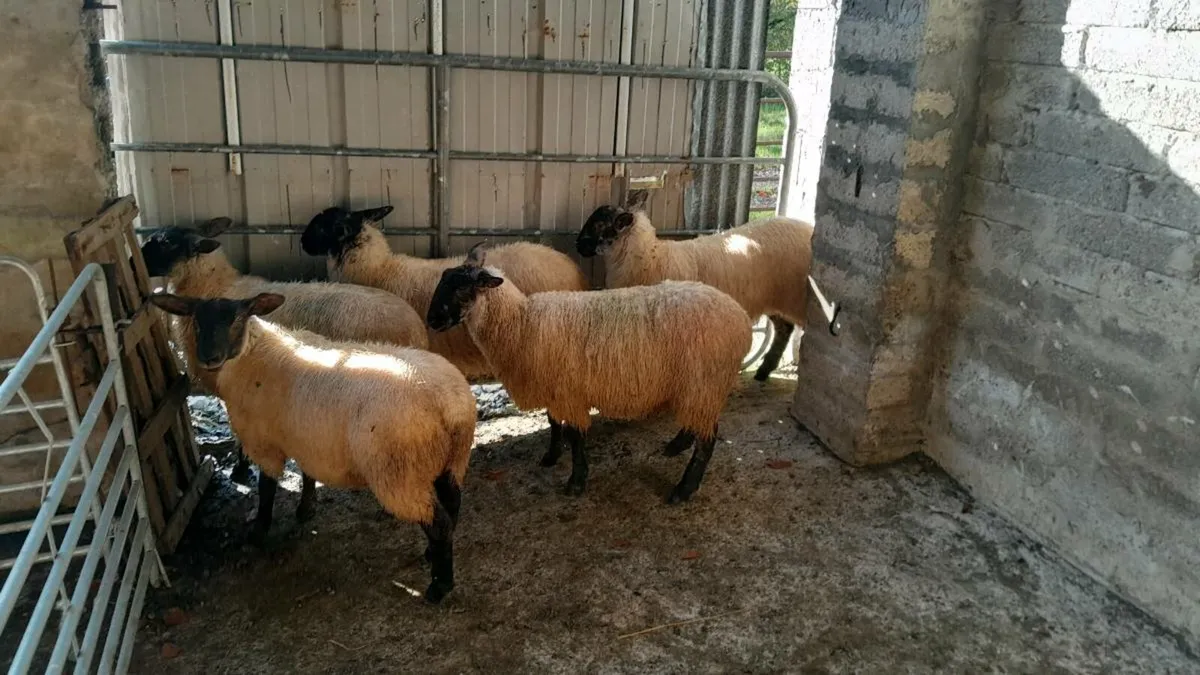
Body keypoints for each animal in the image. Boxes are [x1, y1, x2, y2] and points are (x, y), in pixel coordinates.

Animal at [148, 291, 476, 603]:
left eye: (237, 319)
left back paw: (439, 586)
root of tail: (449, 405)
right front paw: (306, 509)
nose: (209, 357)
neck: (252, 353)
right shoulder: (306, 440)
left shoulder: (264, 443)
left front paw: (259, 531)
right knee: (453, 508)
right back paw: (434, 555)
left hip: (400, 473)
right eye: (196, 321)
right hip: (450, 461)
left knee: (438, 523)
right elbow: (306, 475)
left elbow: (266, 488)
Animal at [426, 245, 751, 504]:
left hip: (704, 382)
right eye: (443, 280)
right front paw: (551, 456)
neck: (521, 324)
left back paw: (684, 489)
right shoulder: (555, 387)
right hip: (696, 387)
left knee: (708, 440)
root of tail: (740, 318)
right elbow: (553, 423)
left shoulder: (570, 391)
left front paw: (576, 481)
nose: (431, 321)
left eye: (461, 288)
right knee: (697, 424)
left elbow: (575, 435)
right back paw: (677, 445)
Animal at [576, 190, 814, 381]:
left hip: (796, 298)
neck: (651, 258)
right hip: (778, 297)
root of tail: (808, 227)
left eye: (599, 225)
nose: (578, 246)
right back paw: (764, 371)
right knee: (784, 328)